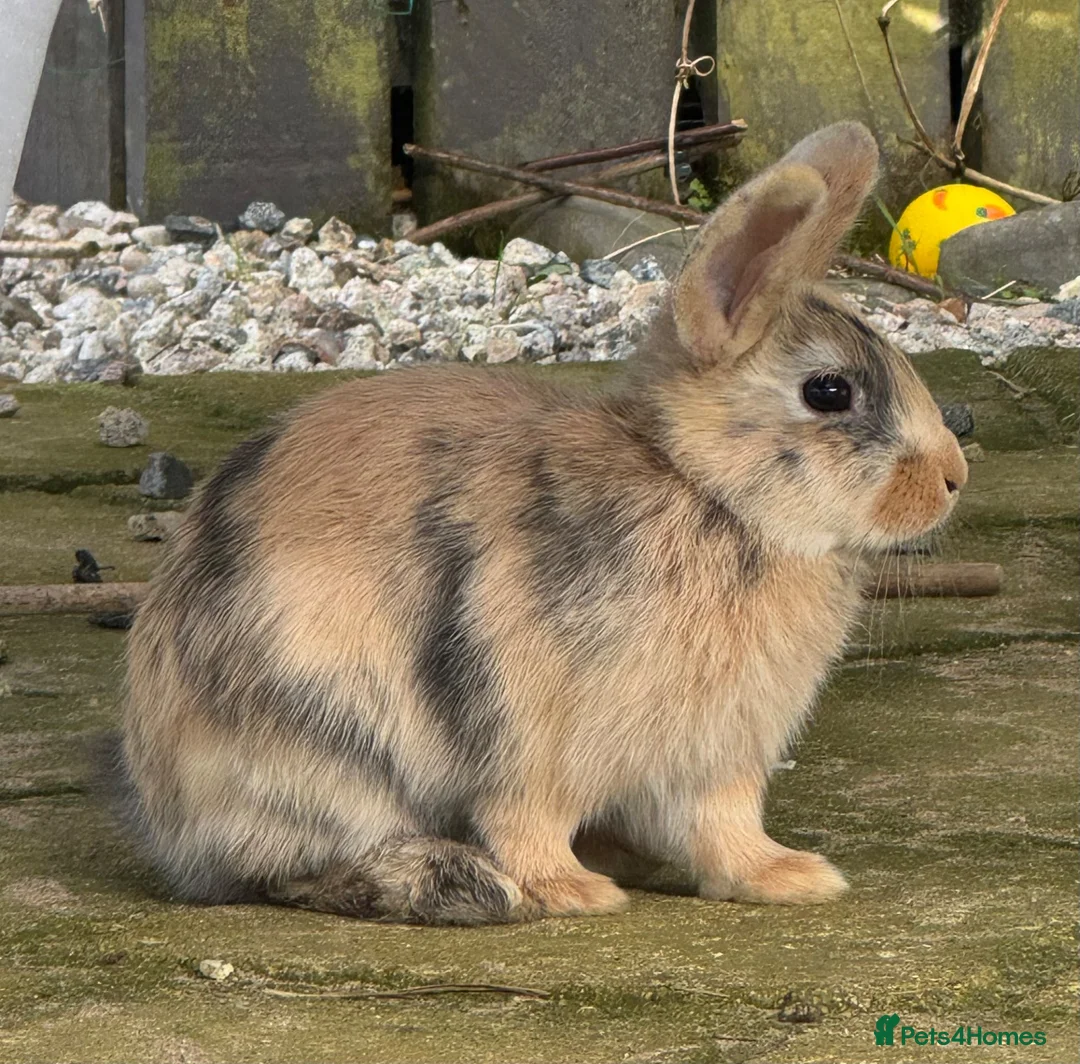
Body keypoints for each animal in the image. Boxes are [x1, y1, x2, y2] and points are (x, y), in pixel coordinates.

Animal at [116, 122, 966, 925]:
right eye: (829, 392)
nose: (953, 479)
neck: (702, 488)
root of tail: (166, 806)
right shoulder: (534, 744)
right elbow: (527, 821)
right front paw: (571, 893)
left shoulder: (715, 764)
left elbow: (724, 832)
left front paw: (791, 878)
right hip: (324, 748)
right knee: (290, 868)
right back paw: (454, 885)